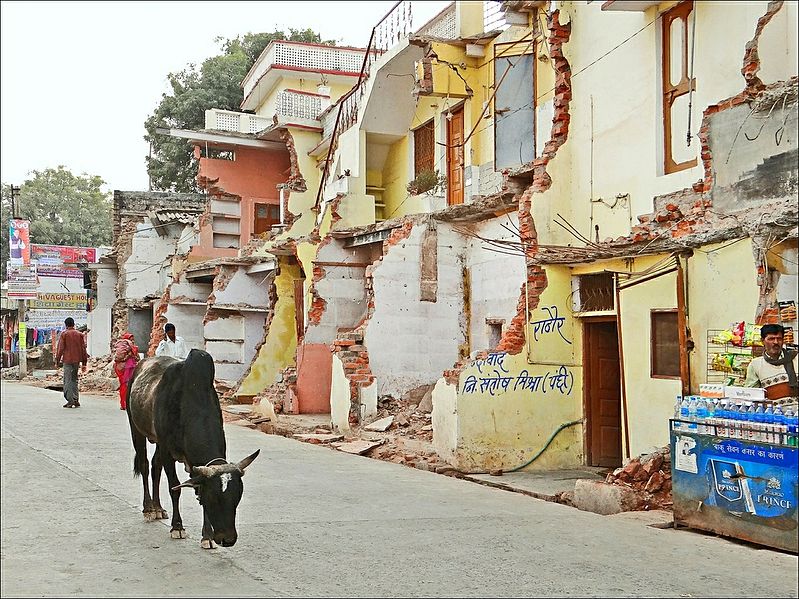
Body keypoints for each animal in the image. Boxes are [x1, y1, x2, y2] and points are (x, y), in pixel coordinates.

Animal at [126, 350, 260, 552]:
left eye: (237, 497)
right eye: (214, 498)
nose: (228, 540)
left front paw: (207, 537)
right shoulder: (167, 451)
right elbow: (174, 488)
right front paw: (177, 527)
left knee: (156, 467)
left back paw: (158, 508)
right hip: (137, 430)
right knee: (144, 465)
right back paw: (149, 508)